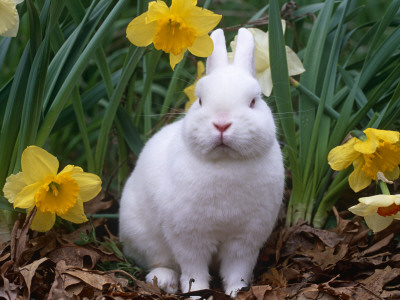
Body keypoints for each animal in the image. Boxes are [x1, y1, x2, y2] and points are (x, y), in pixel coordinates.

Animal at [119, 28, 284, 298]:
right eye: (199, 101)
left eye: (253, 101)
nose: (222, 124)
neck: (225, 162)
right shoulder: (189, 237)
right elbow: (193, 270)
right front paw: (196, 293)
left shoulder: (245, 240)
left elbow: (237, 269)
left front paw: (237, 291)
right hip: (144, 237)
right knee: (159, 261)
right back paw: (164, 280)